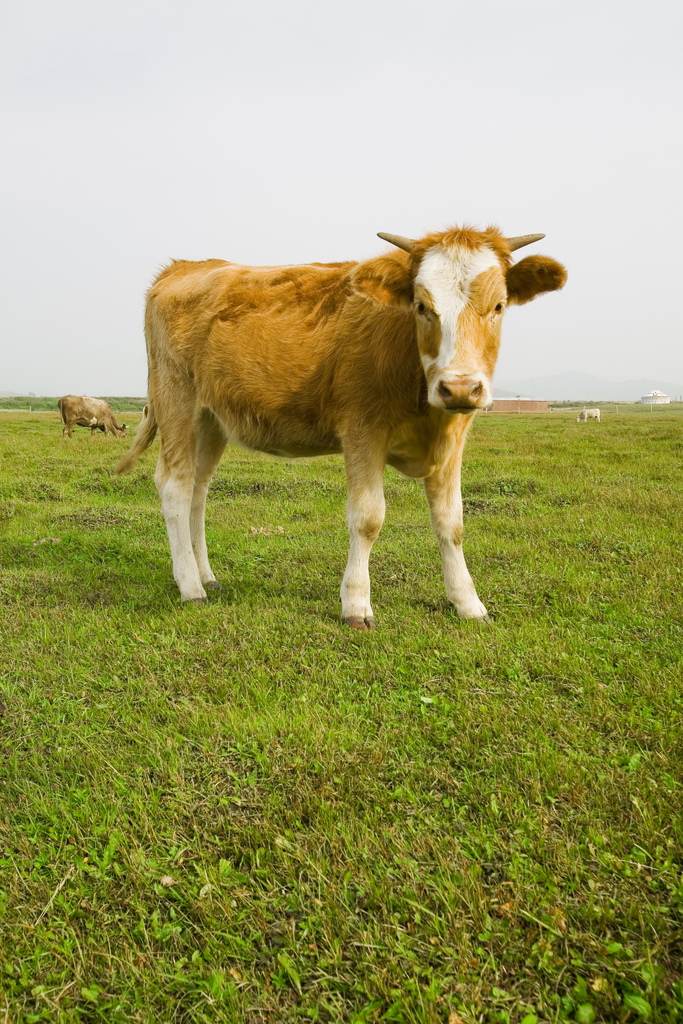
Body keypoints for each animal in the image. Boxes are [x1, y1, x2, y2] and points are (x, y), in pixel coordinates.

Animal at [117, 226, 565, 622]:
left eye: (499, 306)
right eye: (422, 306)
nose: (458, 387)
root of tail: (184, 266)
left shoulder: (452, 439)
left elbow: (451, 523)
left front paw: (468, 603)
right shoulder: (362, 431)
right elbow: (368, 518)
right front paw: (356, 605)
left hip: (211, 420)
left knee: (198, 490)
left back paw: (206, 575)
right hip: (176, 400)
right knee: (174, 486)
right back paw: (190, 586)